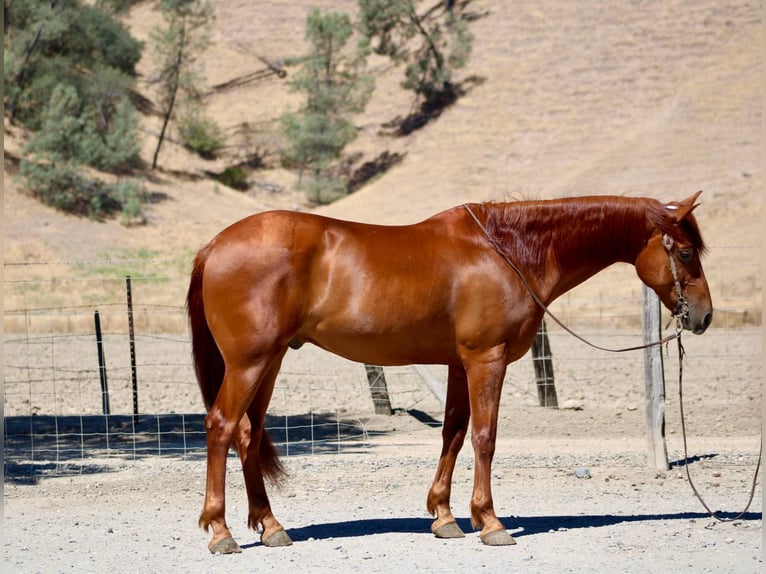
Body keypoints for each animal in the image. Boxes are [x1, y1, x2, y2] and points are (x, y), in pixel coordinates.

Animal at [186, 191, 712, 553]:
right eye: (686, 252)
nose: (704, 316)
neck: (507, 252)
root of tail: (214, 245)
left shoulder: (460, 365)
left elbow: (454, 434)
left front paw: (444, 517)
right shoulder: (486, 359)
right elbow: (485, 437)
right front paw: (491, 522)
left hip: (270, 362)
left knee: (249, 433)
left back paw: (271, 526)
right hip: (250, 362)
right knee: (222, 426)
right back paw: (221, 531)